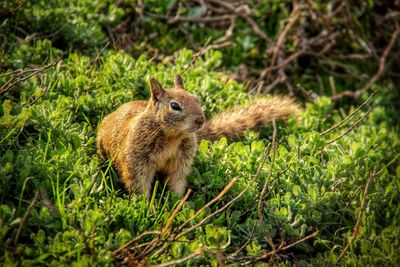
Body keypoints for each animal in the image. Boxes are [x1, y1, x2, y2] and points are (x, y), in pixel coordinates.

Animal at [97, 74, 300, 200]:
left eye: (196, 99)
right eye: (175, 106)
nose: (201, 120)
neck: (172, 137)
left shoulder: (181, 161)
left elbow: (177, 182)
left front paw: (176, 204)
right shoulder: (137, 161)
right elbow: (139, 184)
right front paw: (147, 208)